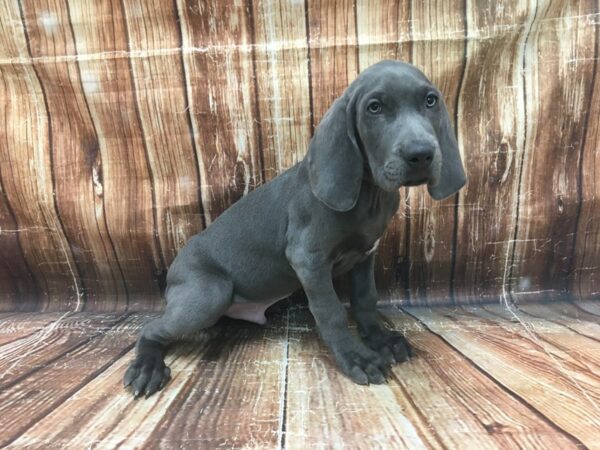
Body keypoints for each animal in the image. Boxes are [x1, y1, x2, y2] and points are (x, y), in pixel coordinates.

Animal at [124, 59, 466, 398]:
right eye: (375, 107)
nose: (421, 154)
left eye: (431, 101)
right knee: (151, 329)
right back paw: (147, 367)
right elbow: (331, 311)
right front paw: (356, 356)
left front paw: (381, 340)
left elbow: (366, 299)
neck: (370, 195)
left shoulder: (365, 255)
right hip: (209, 293)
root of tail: (173, 269)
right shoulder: (308, 259)